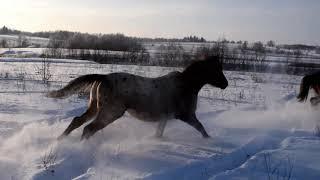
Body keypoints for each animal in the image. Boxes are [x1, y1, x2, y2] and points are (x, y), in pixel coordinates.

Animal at [47, 55, 228, 140]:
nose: (226, 84)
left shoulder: (165, 117)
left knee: (78, 121)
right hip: (111, 112)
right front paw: (210, 141)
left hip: (94, 106)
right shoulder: (185, 115)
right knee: (89, 129)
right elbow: (201, 128)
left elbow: (159, 133)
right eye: (216, 70)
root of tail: (103, 77)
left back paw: (60, 140)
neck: (187, 85)